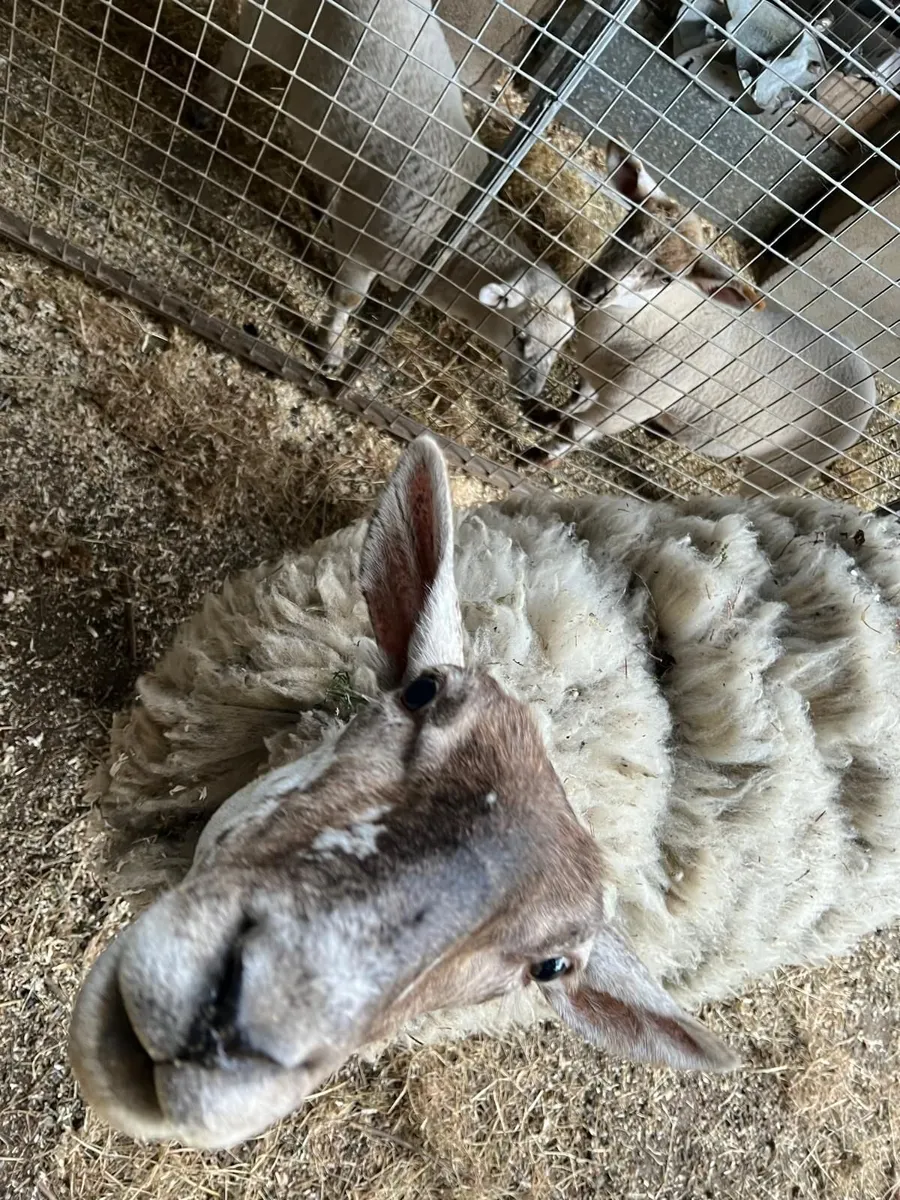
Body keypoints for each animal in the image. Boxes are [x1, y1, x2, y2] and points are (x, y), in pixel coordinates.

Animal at [190, 0, 575, 396]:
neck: (455, 234)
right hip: (272, 25)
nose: (532, 392)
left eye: (561, 346)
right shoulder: (364, 246)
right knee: (237, 52)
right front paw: (332, 351)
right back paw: (208, 105)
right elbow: (349, 300)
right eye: (520, 336)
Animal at [529, 142, 877, 494]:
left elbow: (575, 431)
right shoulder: (594, 375)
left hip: (788, 466)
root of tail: (865, 370)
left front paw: (537, 458)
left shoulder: (628, 405)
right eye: (627, 226)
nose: (593, 289)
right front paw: (546, 419)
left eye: (666, 278)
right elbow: (575, 401)